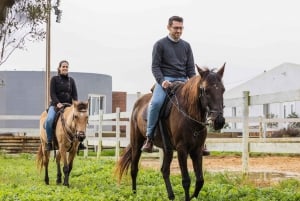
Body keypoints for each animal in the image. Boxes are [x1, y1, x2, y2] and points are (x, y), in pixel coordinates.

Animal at [116, 64, 226, 201]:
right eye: (205, 90)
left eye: (223, 90)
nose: (219, 121)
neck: (188, 114)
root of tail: (137, 103)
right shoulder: (181, 149)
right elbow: (186, 181)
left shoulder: (197, 150)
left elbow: (200, 180)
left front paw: (192, 197)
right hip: (137, 144)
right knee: (134, 169)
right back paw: (134, 193)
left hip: (167, 149)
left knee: (164, 170)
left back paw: (171, 196)